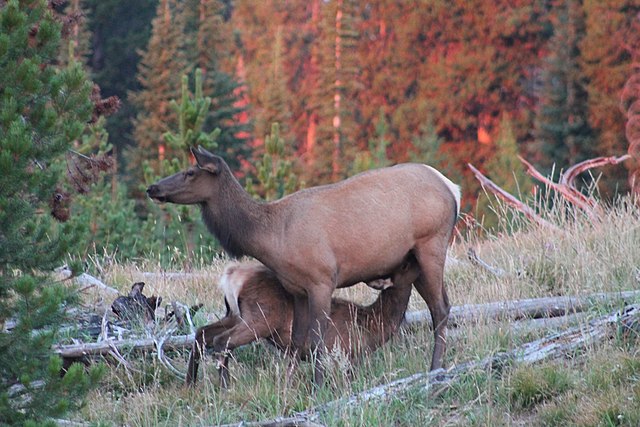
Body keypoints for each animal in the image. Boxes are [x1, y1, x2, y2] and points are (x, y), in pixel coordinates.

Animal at [185, 258, 418, 388]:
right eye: (405, 265)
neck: (370, 324)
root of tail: (232, 274)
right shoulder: (344, 353)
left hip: (233, 314)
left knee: (201, 333)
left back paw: (190, 383)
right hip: (260, 318)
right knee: (222, 340)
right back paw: (225, 387)